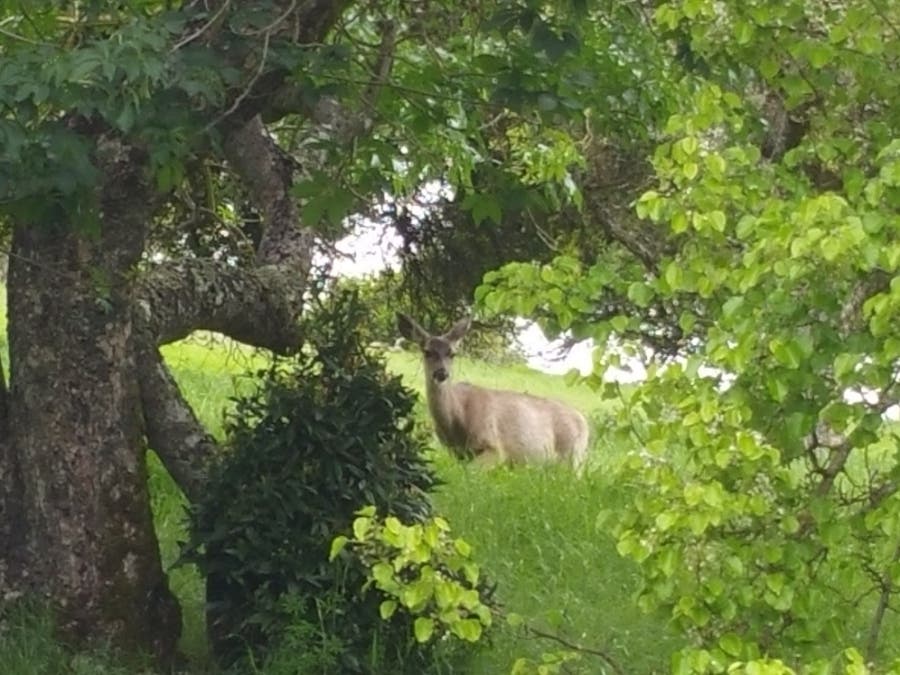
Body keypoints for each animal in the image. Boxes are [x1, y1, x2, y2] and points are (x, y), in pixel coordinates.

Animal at [397, 313, 590, 474]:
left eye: (453, 353)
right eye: (427, 351)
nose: (441, 373)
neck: (457, 422)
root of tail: (584, 421)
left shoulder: (494, 446)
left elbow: (469, 472)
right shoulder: (455, 452)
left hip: (572, 455)